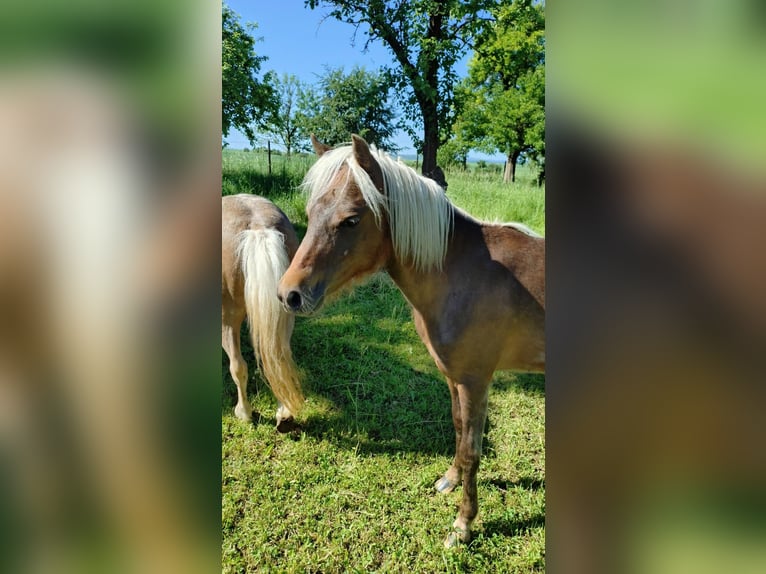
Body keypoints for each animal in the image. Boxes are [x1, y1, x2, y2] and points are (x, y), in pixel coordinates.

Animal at [222, 194, 305, 432]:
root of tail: (258, 229)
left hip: (227, 320)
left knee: (238, 366)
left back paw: (244, 412)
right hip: (286, 313)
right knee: (278, 358)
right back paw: (284, 415)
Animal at [277, 134, 545, 547]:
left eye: (351, 220)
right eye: (311, 211)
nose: (289, 294)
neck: (462, 274)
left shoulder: (475, 381)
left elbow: (472, 450)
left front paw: (463, 525)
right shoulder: (453, 377)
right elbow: (457, 428)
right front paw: (449, 480)